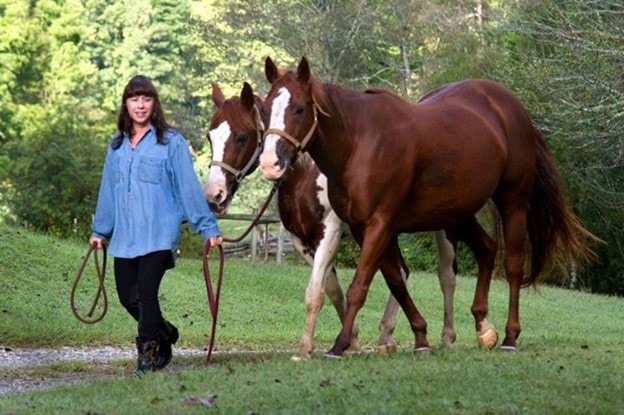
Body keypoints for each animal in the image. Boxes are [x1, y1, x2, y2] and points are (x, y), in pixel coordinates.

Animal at [205, 83, 464, 360]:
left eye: (241, 137)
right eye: (211, 137)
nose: (214, 195)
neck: (307, 175)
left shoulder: (329, 232)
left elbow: (315, 292)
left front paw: (306, 349)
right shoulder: (303, 240)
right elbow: (331, 290)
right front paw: (352, 341)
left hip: (442, 226)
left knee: (446, 276)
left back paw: (448, 337)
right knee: (401, 272)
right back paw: (386, 336)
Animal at [260, 56, 600, 358]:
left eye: (299, 108)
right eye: (264, 109)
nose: (269, 163)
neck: (359, 142)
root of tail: (511, 107)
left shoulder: (375, 225)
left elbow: (360, 286)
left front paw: (339, 345)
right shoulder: (360, 228)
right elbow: (394, 281)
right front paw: (419, 337)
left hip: (512, 202)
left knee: (511, 265)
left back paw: (509, 337)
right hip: (456, 213)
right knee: (485, 250)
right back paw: (481, 327)